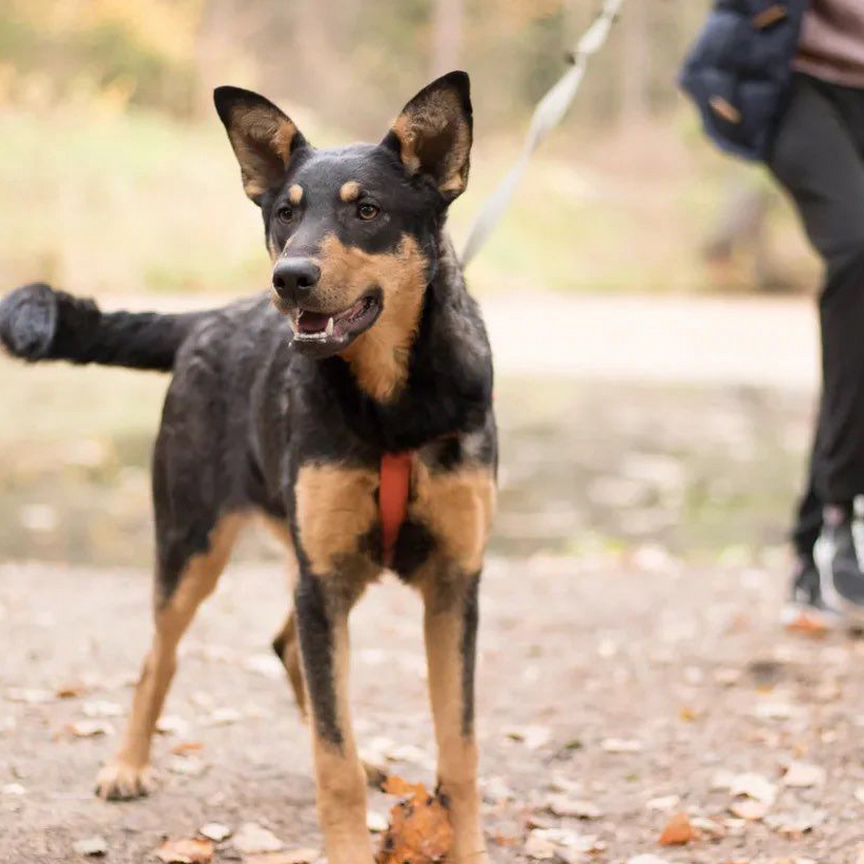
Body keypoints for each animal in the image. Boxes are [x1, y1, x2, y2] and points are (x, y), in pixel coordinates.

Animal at [0, 71, 496, 860]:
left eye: (367, 210)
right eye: (284, 214)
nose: (288, 277)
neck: (390, 404)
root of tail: (203, 319)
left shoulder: (452, 586)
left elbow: (460, 751)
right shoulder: (324, 580)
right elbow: (330, 760)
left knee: (288, 650)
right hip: (195, 548)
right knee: (161, 657)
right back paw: (127, 765)